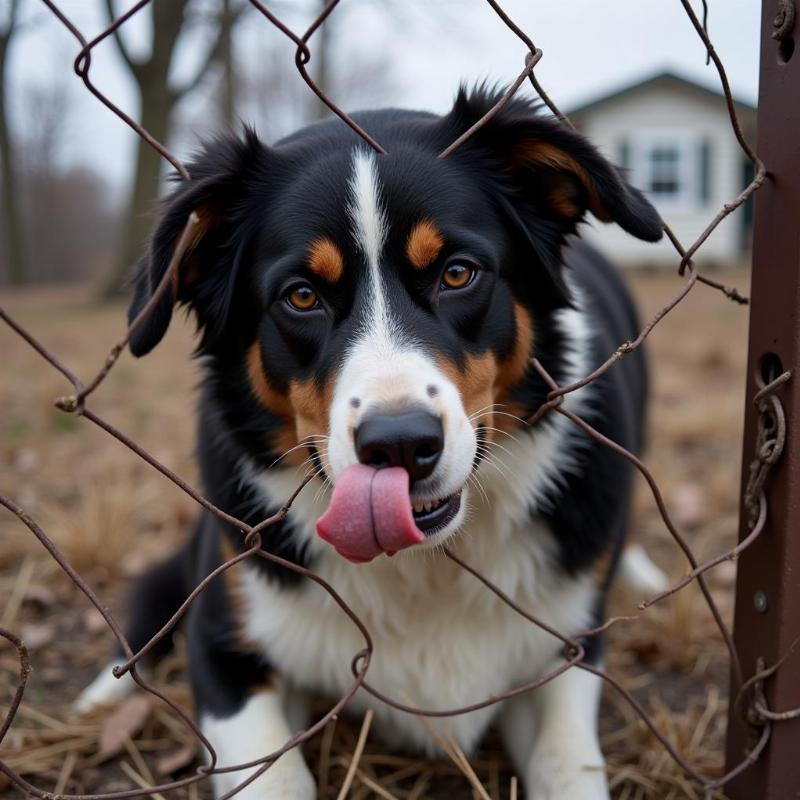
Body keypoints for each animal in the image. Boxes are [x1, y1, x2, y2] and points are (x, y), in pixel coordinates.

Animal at [78, 89, 668, 800]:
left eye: (458, 273)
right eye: (301, 296)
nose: (401, 444)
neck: (423, 564)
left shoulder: (570, 643)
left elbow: (565, 762)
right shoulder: (226, 645)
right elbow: (272, 774)